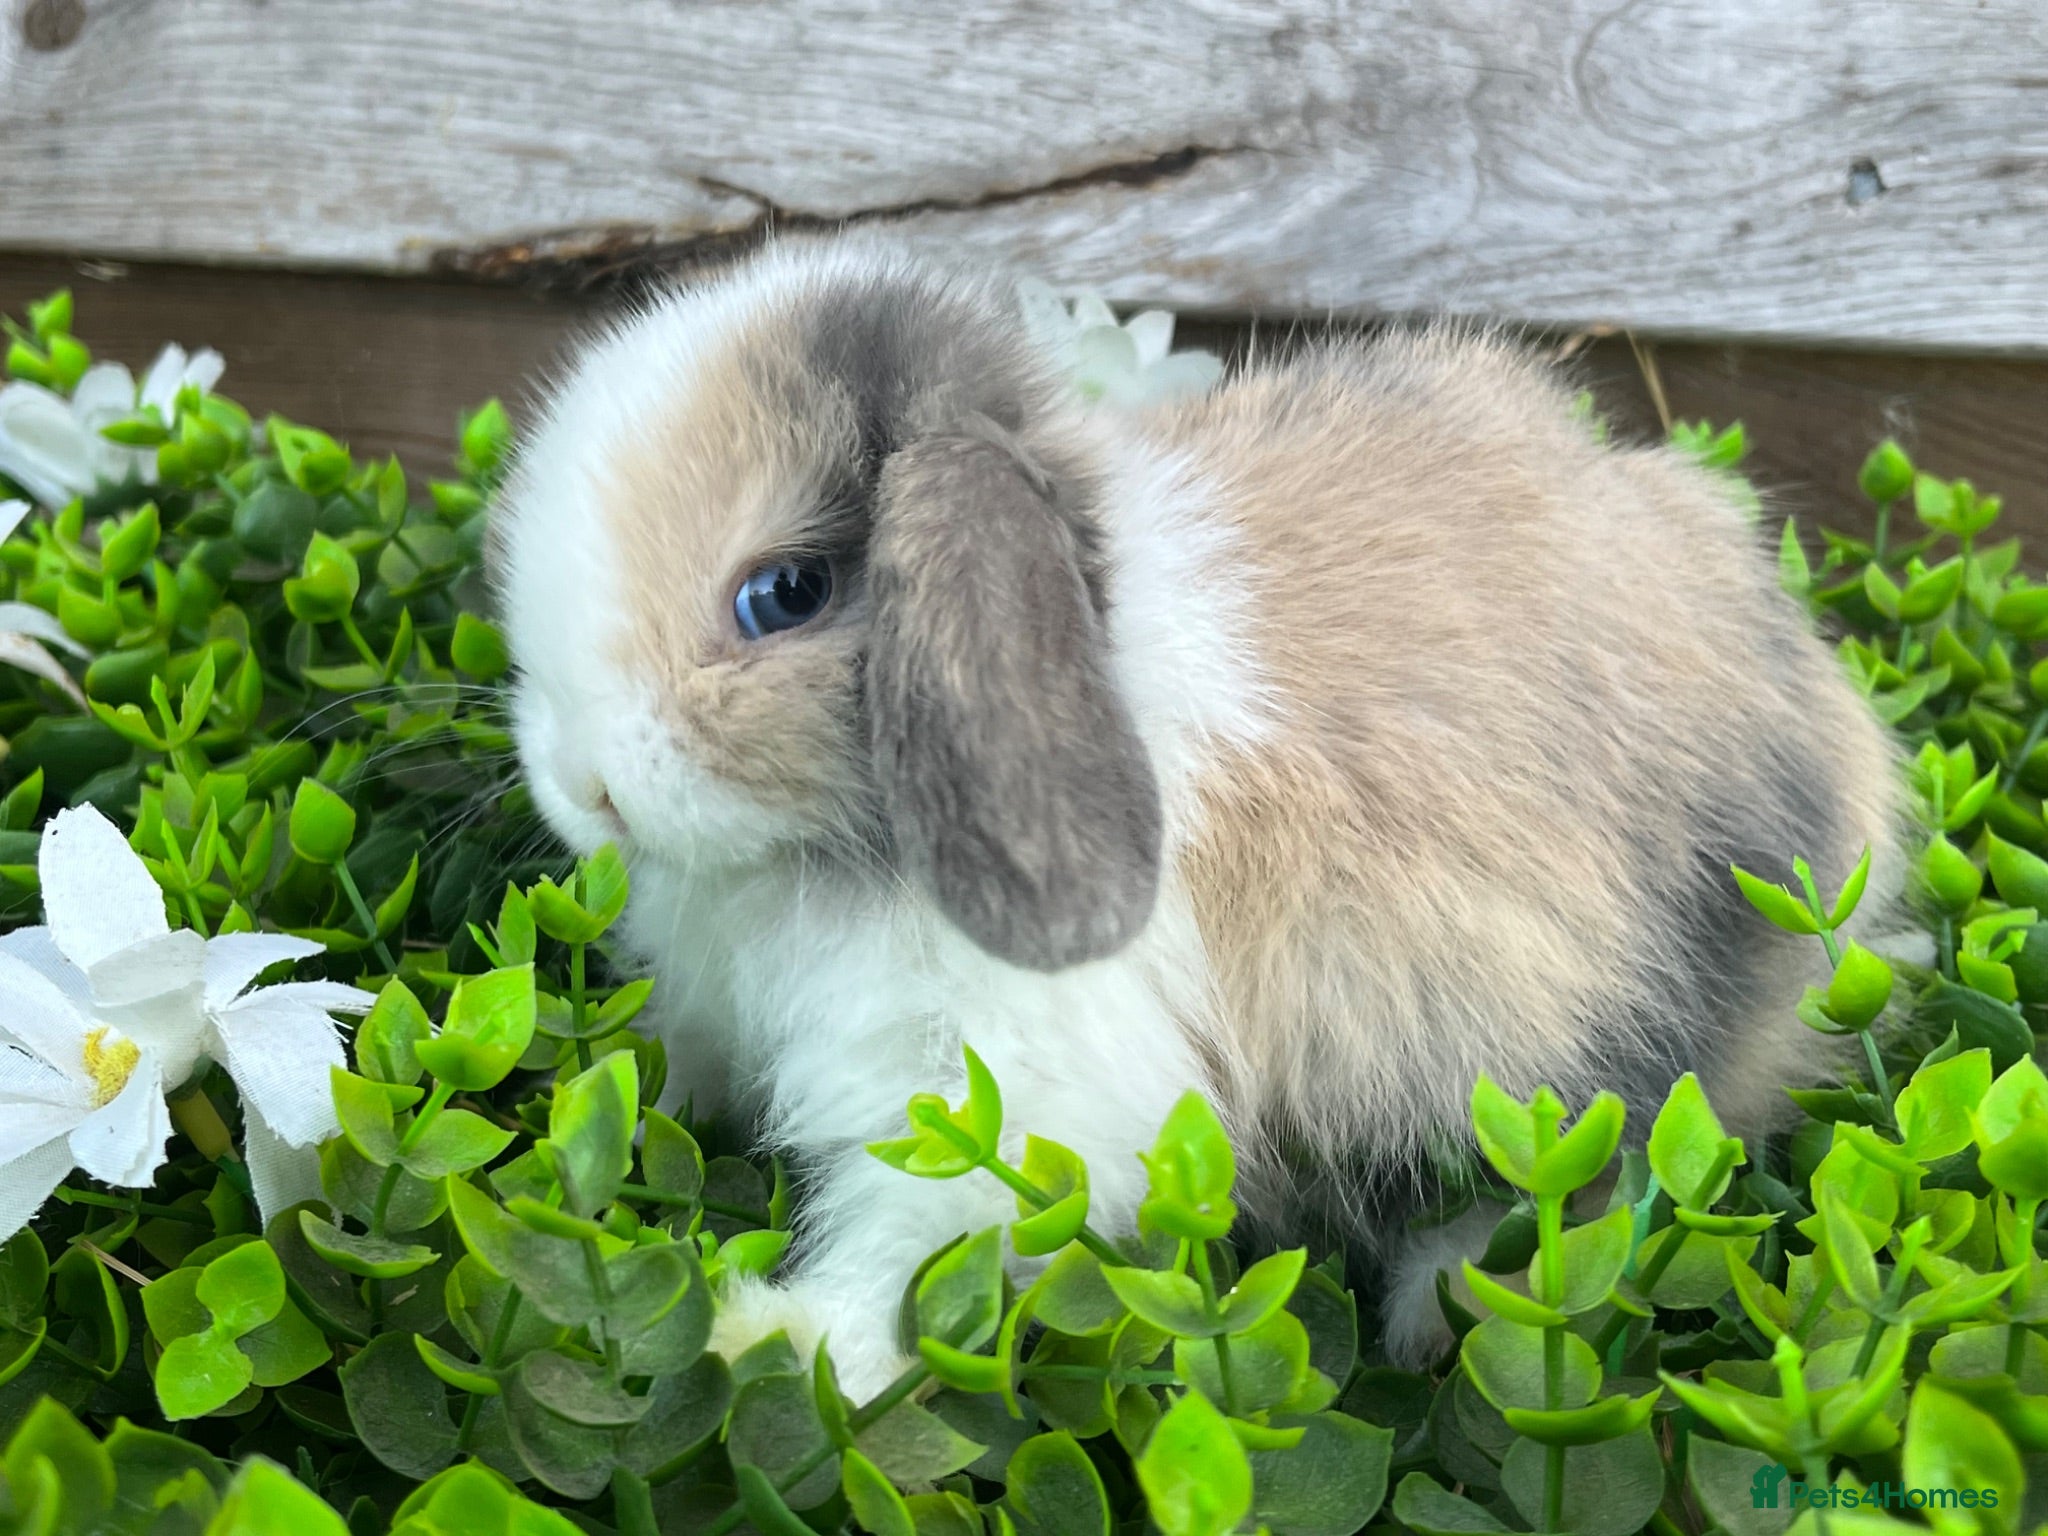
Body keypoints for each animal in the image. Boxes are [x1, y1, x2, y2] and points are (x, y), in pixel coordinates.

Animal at [491, 233, 1902, 1397]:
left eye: (782, 594)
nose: (583, 787)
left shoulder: (998, 1085)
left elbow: (913, 1235)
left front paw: (774, 1338)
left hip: (1645, 1010)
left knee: (1623, 1165)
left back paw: (1443, 1305)